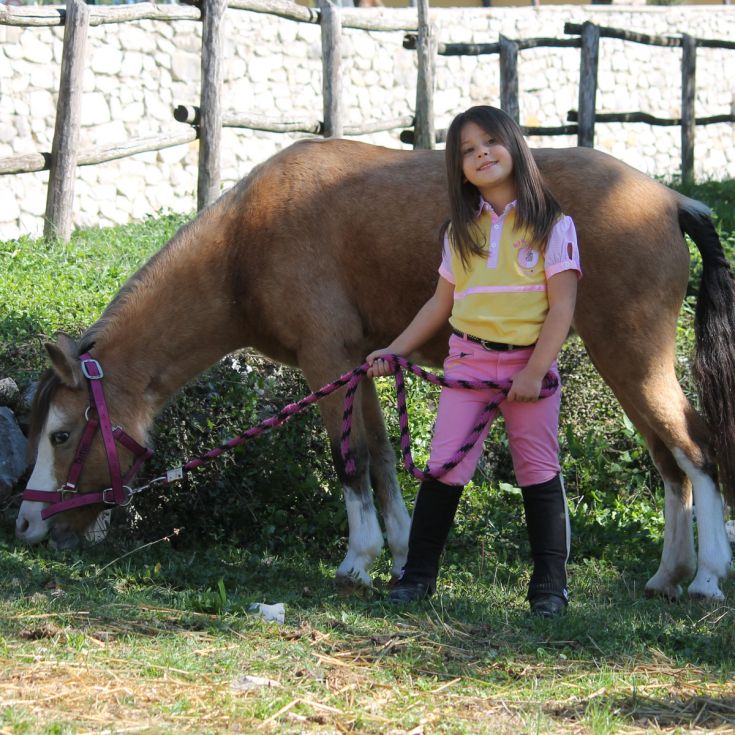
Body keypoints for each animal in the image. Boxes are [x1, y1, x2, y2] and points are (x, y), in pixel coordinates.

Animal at [14, 138, 735, 600]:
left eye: (61, 434)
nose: (24, 525)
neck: (245, 244)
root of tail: (669, 199)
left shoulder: (324, 361)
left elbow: (351, 461)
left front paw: (356, 560)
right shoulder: (359, 364)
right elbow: (385, 459)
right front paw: (399, 556)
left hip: (631, 355)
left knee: (697, 450)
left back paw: (706, 578)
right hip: (625, 366)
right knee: (670, 464)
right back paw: (667, 576)